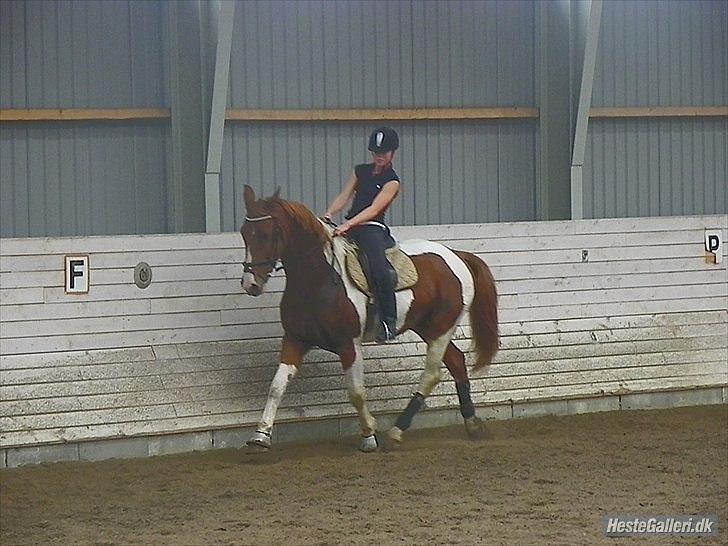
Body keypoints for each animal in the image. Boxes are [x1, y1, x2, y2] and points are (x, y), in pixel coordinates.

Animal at [242, 185, 498, 448]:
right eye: (244, 234)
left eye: (266, 234)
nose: (251, 285)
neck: (319, 280)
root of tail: (456, 254)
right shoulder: (295, 339)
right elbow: (277, 386)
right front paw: (260, 436)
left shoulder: (349, 344)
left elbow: (356, 392)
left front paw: (368, 435)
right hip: (426, 327)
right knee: (456, 361)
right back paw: (471, 424)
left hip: (441, 328)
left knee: (432, 373)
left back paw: (397, 430)